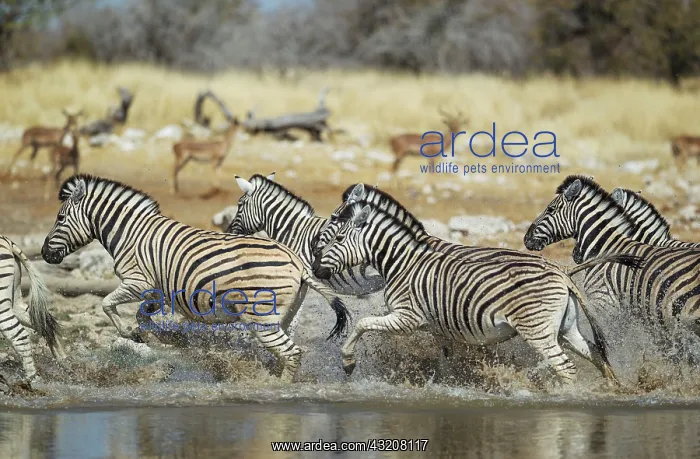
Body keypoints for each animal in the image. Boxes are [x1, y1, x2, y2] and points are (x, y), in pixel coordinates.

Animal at [0, 235, 64, 386]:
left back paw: (31, 380)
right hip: (14, 298)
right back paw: (64, 362)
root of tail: (7, 242)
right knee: (43, 323)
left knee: (19, 335)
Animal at [41, 174, 349, 383]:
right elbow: (143, 314)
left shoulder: (137, 281)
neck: (131, 233)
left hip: (261, 318)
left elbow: (107, 303)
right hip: (283, 315)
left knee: (292, 353)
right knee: (286, 351)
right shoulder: (157, 288)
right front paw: (156, 336)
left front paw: (129, 333)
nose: (44, 253)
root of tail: (297, 262)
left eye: (60, 218)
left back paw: (278, 388)